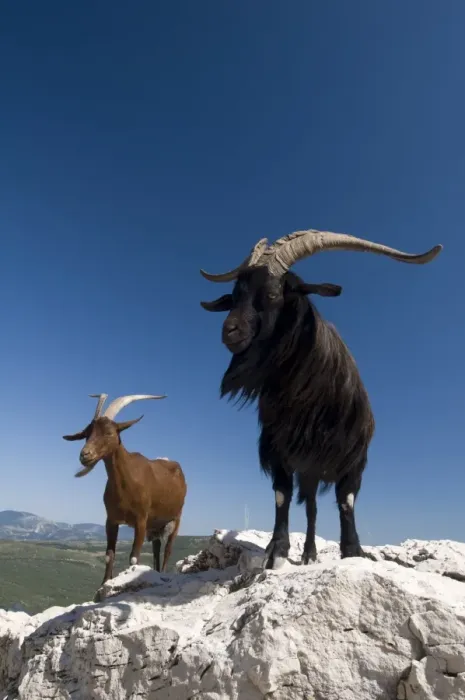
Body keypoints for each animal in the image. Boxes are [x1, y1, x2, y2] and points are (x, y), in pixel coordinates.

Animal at [63, 393, 187, 586]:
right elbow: (109, 556)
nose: (85, 455)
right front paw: (103, 587)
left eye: (109, 432)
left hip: (176, 518)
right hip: (155, 526)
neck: (126, 484)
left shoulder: (141, 520)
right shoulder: (111, 520)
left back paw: (164, 573)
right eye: (87, 434)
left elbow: (134, 558)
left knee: (168, 549)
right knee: (156, 549)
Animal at [200, 229, 442, 569]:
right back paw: (309, 553)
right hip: (308, 469)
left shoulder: (353, 457)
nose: (229, 331)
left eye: (273, 294)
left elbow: (346, 501)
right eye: (235, 295)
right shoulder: (280, 449)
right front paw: (277, 550)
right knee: (311, 507)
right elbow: (282, 495)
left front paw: (353, 550)